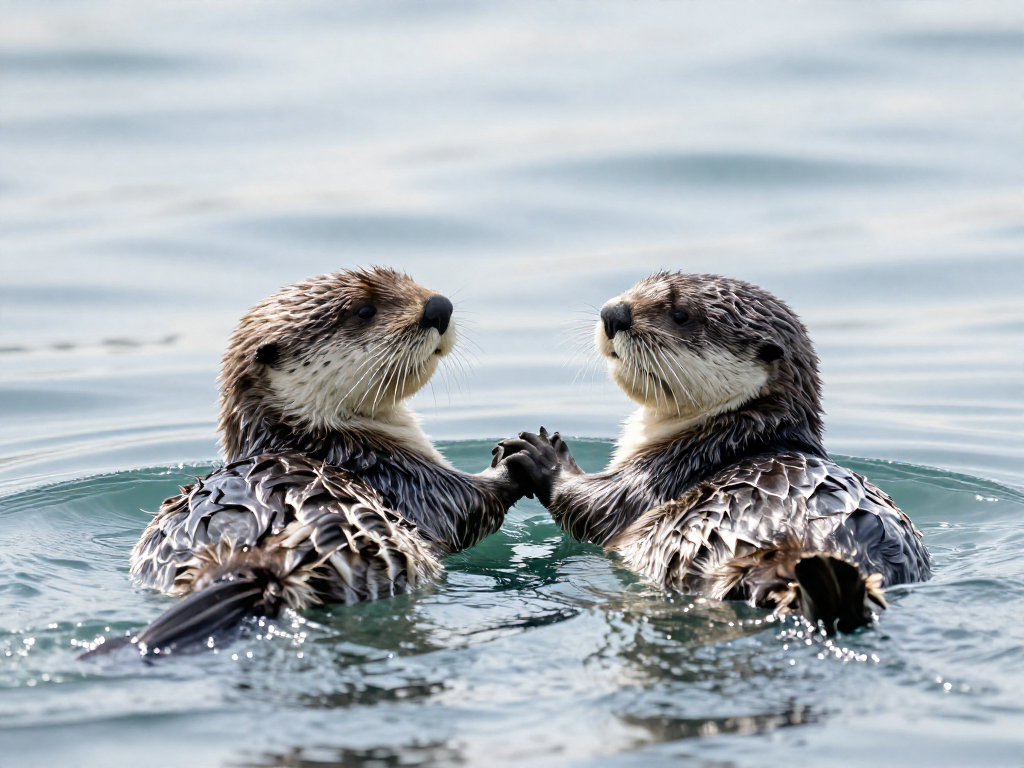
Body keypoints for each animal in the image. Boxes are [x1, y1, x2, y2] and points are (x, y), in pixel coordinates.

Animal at [87, 267, 529, 656]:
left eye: (409, 281)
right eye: (364, 311)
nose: (439, 307)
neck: (318, 439)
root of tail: (241, 560)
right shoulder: (401, 476)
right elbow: (468, 508)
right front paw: (519, 459)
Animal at [498, 272, 930, 634]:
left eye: (680, 314)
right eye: (638, 285)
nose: (613, 313)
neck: (735, 432)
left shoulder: (660, 474)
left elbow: (594, 509)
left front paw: (542, 455)